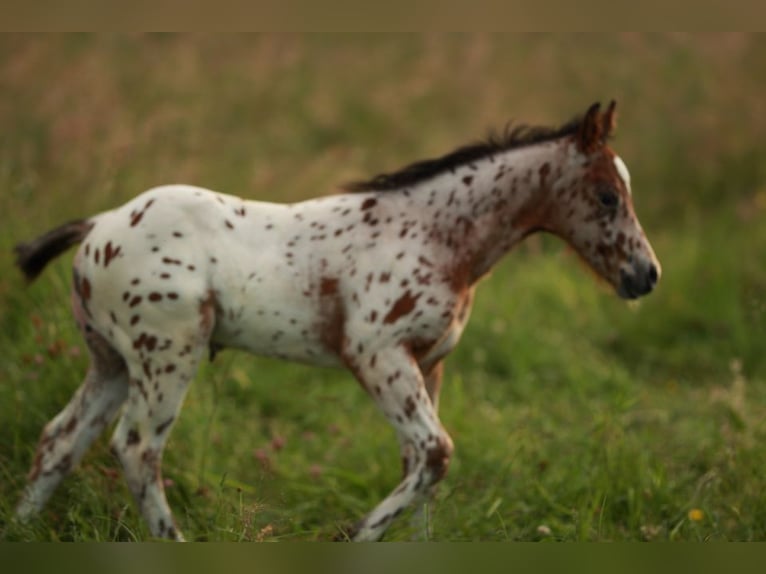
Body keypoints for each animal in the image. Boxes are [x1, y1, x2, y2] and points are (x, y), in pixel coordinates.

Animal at [13, 101, 660, 544]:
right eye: (607, 196)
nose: (646, 275)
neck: (435, 235)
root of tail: (98, 225)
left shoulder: (430, 363)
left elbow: (423, 468)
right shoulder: (376, 354)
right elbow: (436, 453)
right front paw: (353, 536)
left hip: (112, 362)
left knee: (61, 440)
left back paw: (18, 528)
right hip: (166, 356)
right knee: (137, 447)